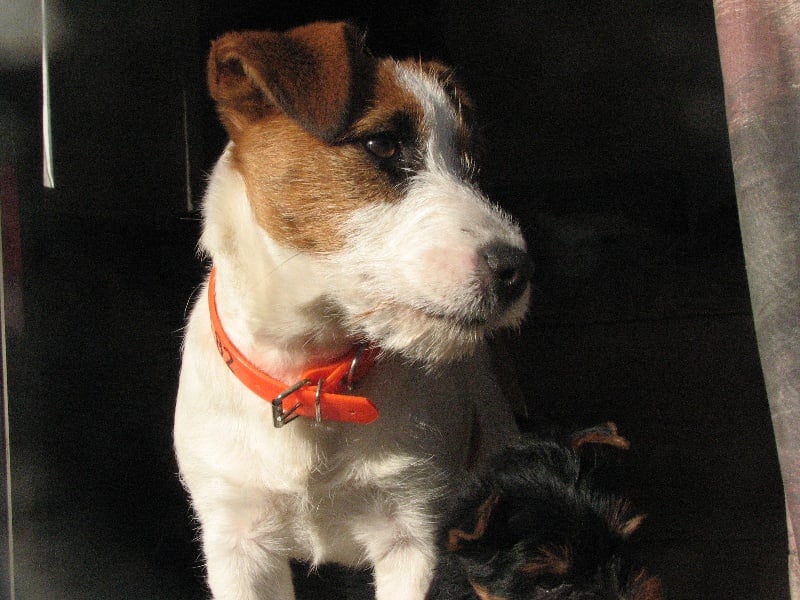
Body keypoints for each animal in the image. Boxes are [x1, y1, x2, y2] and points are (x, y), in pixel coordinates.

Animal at [173, 21, 533, 600]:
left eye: (471, 166)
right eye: (381, 143)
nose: (517, 270)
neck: (312, 373)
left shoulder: (412, 537)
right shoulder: (239, 544)